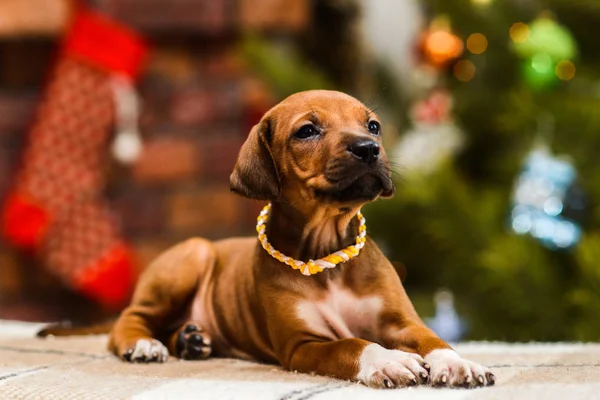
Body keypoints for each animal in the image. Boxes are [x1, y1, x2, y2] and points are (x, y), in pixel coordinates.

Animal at [105, 90, 494, 388]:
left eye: (373, 126)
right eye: (307, 131)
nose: (369, 148)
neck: (327, 252)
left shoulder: (401, 322)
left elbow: (432, 338)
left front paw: (456, 362)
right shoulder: (302, 345)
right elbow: (351, 345)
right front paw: (388, 361)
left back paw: (189, 340)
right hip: (194, 252)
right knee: (130, 318)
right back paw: (144, 344)